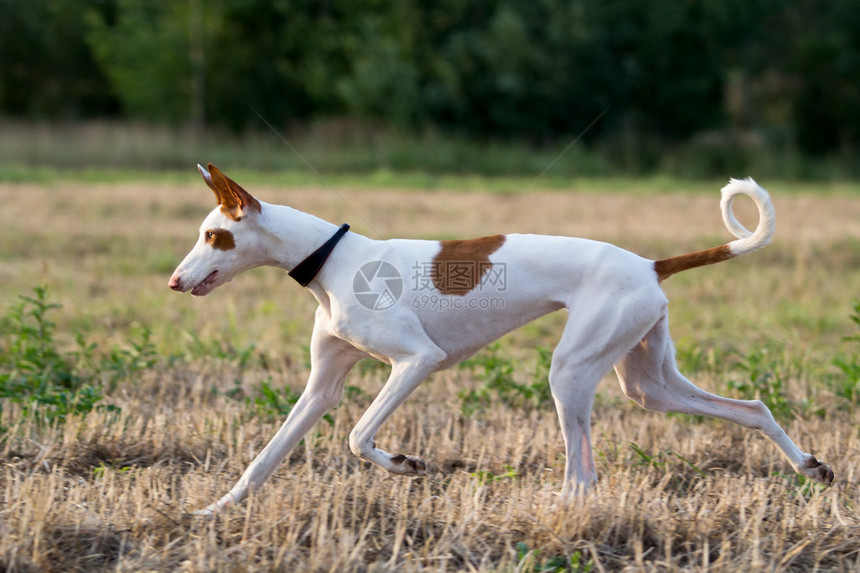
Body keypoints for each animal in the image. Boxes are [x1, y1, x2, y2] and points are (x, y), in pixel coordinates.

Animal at [170, 163, 832, 512]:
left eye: (214, 236)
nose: (174, 281)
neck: (332, 260)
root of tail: (650, 264)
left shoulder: (417, 361)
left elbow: (359, 437)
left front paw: (405, 464)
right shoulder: (321, 388)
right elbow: (265, 458)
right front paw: (215, 511)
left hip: (571, 372)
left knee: (582, 475)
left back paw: (558, 510)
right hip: (649, 382)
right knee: (751, 407)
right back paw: (810, 467)